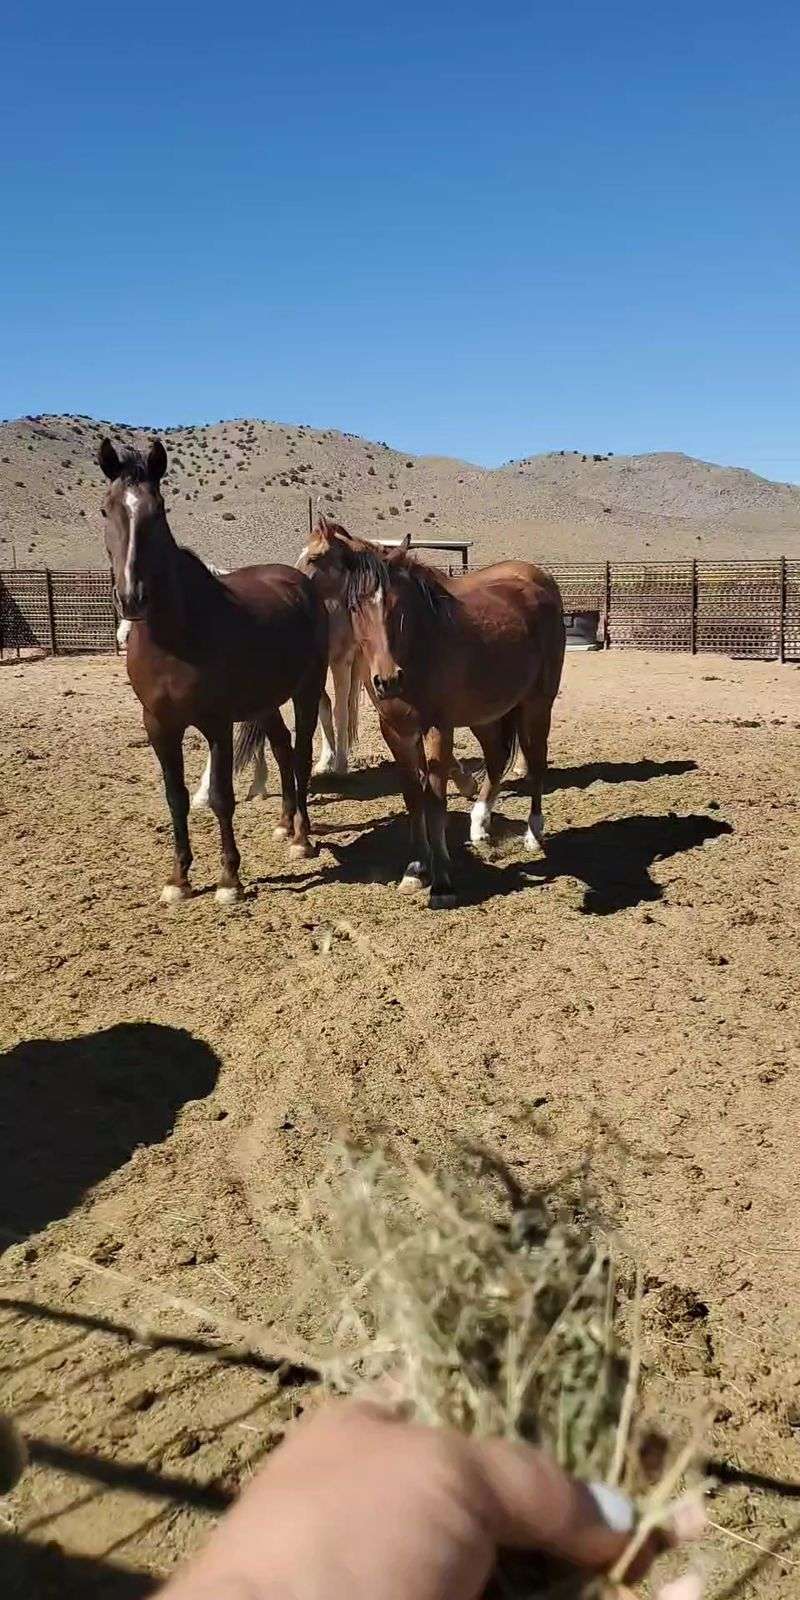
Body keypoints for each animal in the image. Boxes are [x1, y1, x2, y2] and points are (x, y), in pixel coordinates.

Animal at [99, 438, 327, 904]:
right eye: (105, 510)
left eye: (158, 510)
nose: (132, 598)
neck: (177, 637)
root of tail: (298, 581)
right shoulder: (159, 725)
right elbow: (176, 796)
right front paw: (179, 879)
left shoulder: (216, 723)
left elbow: (222, 797)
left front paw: (228, 880)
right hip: (265, 702)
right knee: (281, 749)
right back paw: (284, 824)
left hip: (306, 690)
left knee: (299, 753)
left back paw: (301, 837)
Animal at [300, 521, 565, 907]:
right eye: (355, 606)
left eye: (397, 605)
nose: (388, 680)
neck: (419, 649)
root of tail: (540, 582)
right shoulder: (396, 731)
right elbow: (414, 797)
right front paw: (416, 868)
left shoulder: (439, 728)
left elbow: (436, 801)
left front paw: (442, 881)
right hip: (485, 715)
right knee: (497, 758)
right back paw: (479, 824)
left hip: (535, 705)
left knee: (536, 761)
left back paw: (533, 833)